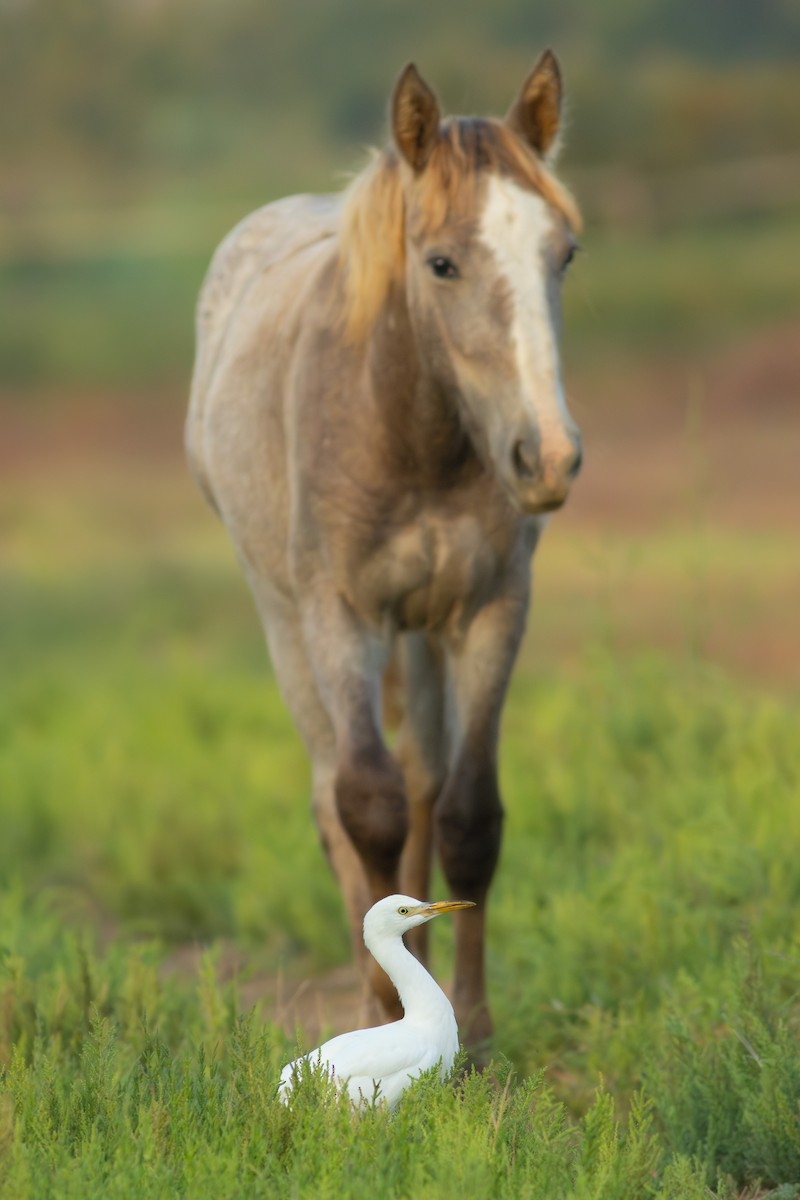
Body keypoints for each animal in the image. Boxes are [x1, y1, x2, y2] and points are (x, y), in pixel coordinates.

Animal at [190, 51, 585, 1046]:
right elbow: (364, 807)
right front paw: (378, 1006)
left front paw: (473, 1027)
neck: (410, 433)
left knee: (423, 786)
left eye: (563, 254)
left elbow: (467, 815)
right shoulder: (343, 616)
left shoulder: (489, 610)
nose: (547, 456)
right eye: (440, 262)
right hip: (287, 622)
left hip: (423, 634)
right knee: (337, 790)